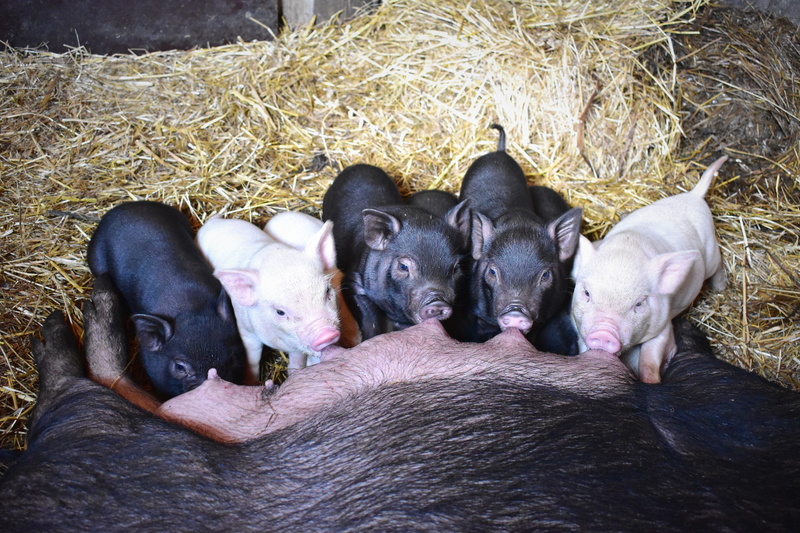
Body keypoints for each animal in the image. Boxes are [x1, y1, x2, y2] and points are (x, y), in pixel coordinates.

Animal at [196, 215, 340, 381]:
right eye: (280, 312)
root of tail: (214, 220)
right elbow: (251, 358)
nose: (326, 334)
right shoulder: (245, 329)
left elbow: (297, 360)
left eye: (327, 290)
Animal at [322, 164, 471, 339]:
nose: (438, 302)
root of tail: (358, 166)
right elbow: (369, 320)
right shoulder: (353, 282)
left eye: (456, 268)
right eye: (403, 267)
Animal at [571, 156, 729, 383]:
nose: (603, 333)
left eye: (639, 303)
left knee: (718, 265)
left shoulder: (663, 323)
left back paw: (720, 288)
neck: (628, 249)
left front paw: (652, 382)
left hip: (711, 252)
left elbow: (649, 361)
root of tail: (694, 196)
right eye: (586, 293)